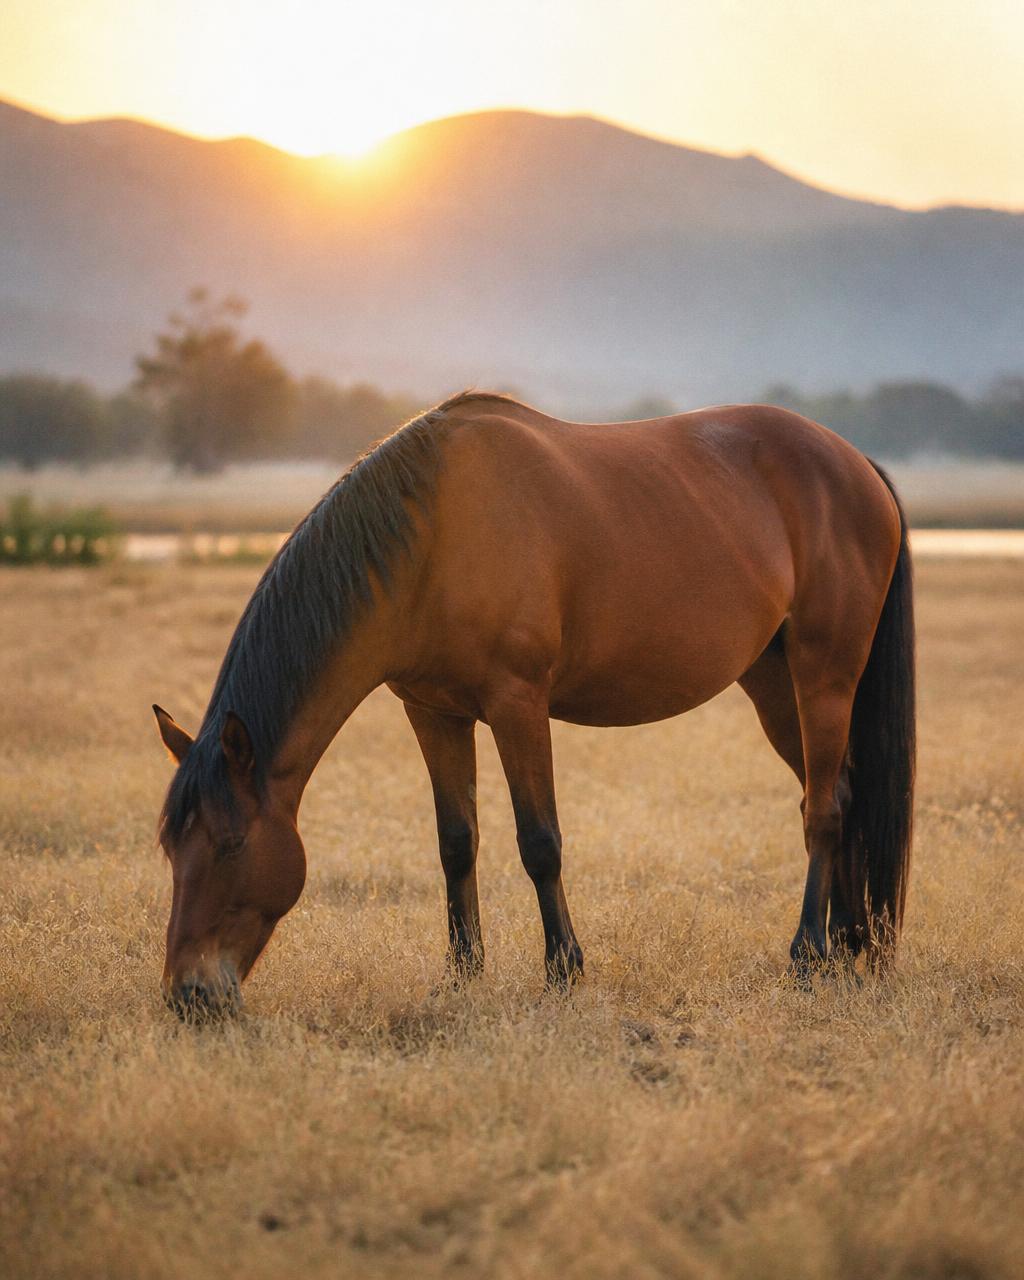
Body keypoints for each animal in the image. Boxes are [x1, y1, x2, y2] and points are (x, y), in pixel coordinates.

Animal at [153, 392, 914, 1018]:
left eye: (230, 844)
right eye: (170, 847)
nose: (188, 995)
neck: (431, 536)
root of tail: (855, 464)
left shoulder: (518, 704)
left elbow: (539, 842)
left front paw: (564, 970)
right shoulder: (434, 713)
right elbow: (456, 842)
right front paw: (462, 973)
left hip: (824, 675)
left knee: (823, 811)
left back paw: (808, 955)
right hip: (774, 684)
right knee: (838, 796)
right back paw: (851, 946)